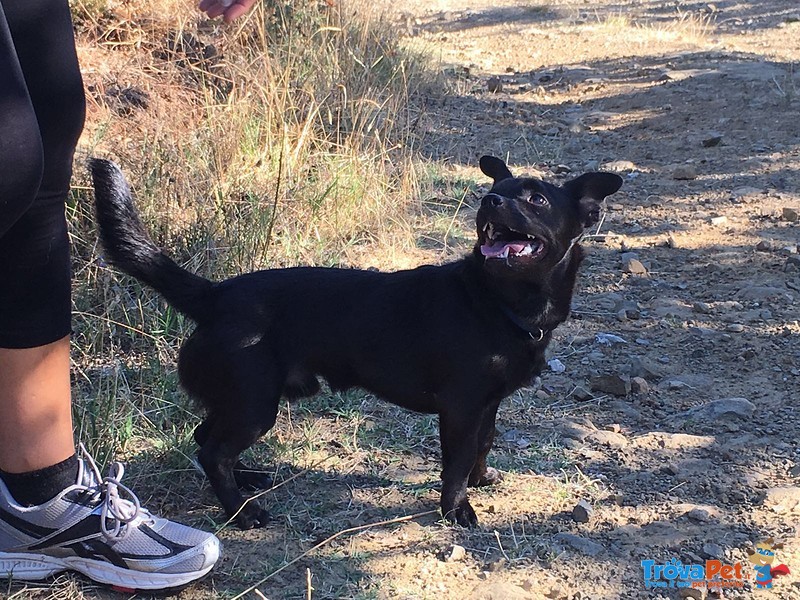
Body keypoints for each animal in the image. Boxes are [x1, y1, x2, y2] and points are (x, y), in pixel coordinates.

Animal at [90, 157, 620, 528]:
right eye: (496, 191)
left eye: (536, 200)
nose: (489, 202)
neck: (496, 302)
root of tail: (215, 295)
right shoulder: (461, 407)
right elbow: (455, 461)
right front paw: (457, 509)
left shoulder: (487, 405)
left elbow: (484, 445)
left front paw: (482, 479)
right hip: (254, 403)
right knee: (212, 451)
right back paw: (243, 512)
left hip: (240, 400)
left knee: (206, 439)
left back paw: (247, 480)